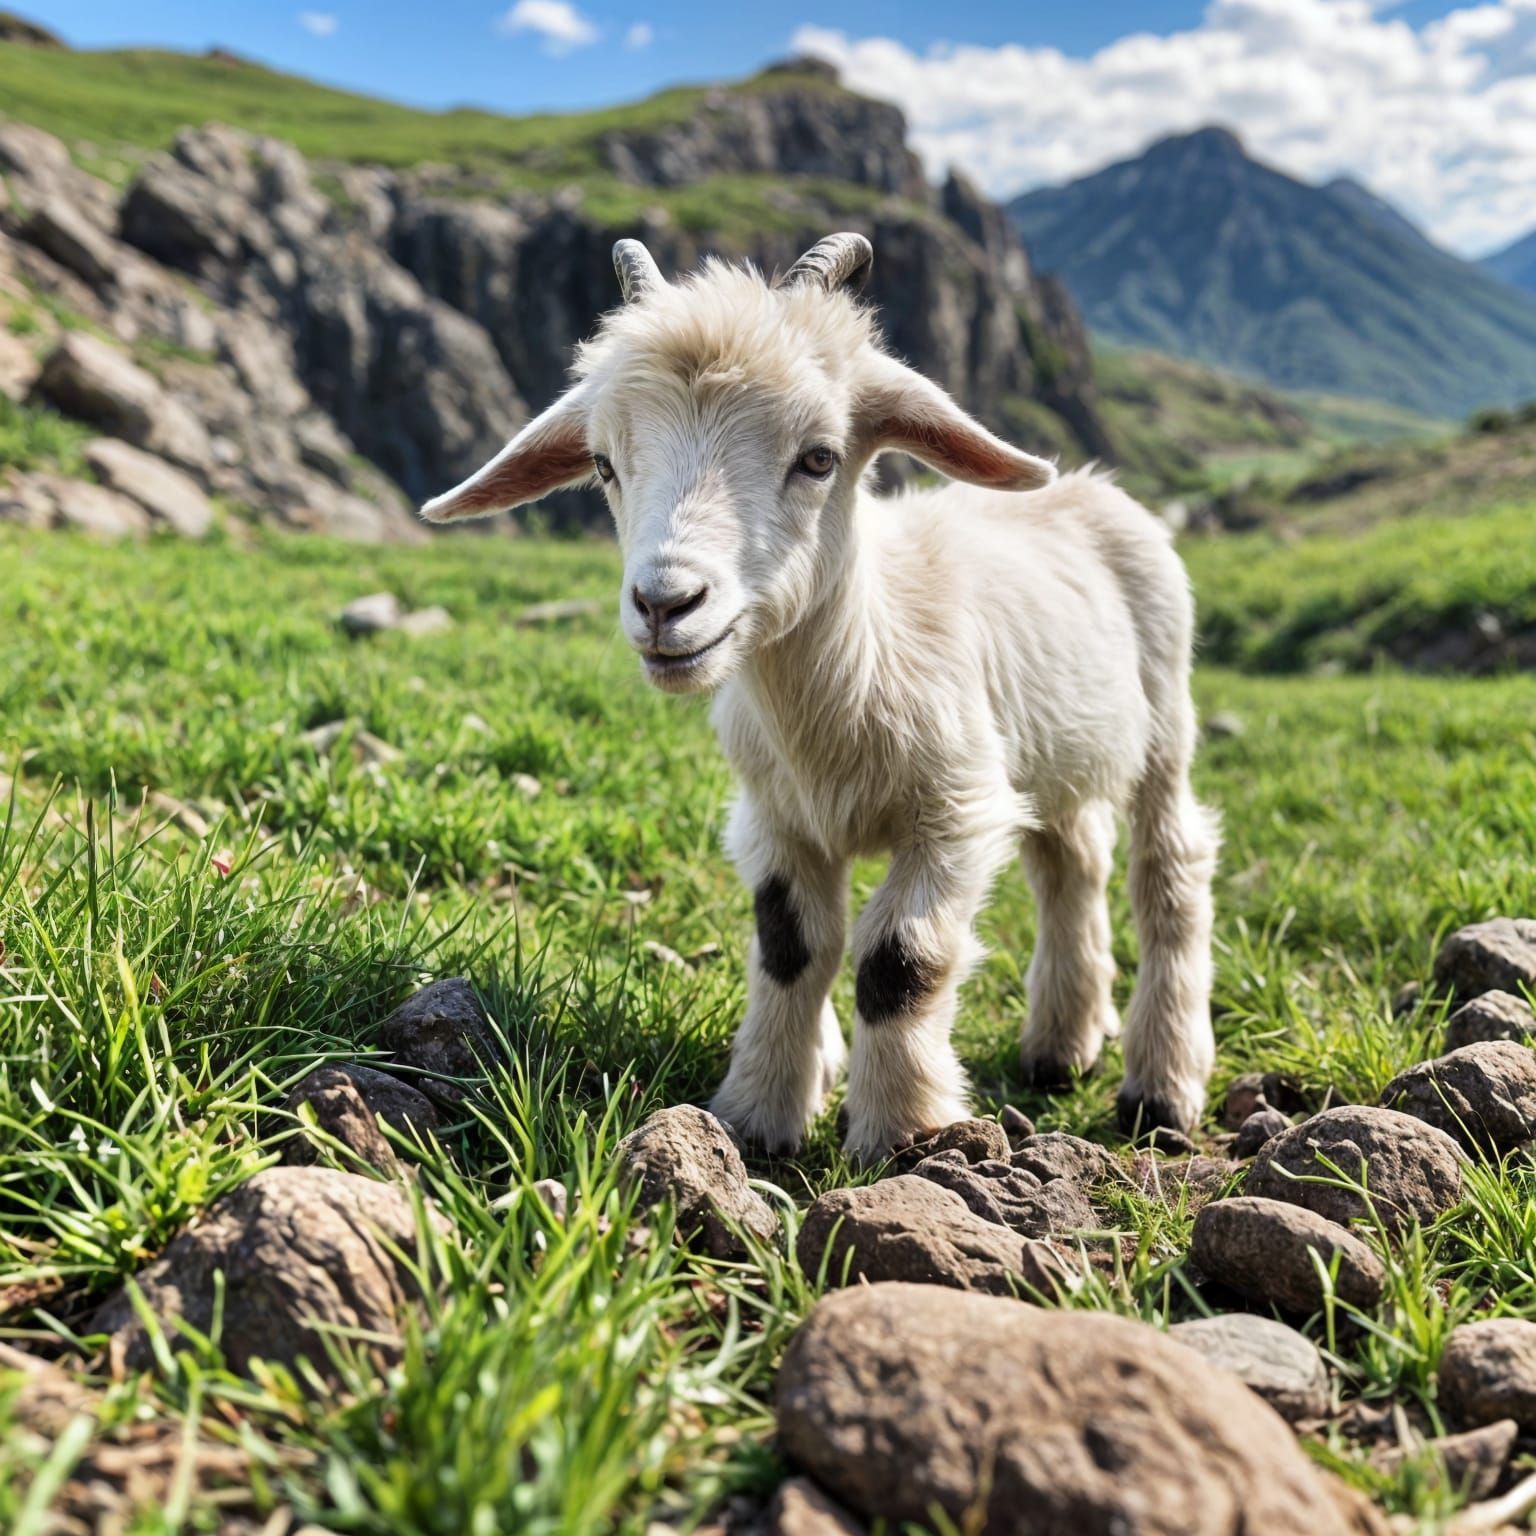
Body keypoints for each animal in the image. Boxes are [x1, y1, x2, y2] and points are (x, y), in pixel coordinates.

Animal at [420, 233, 1210, 1155]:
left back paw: (1161, 1086)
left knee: (1171, 866)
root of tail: (1091, 486)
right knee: (1072, 861)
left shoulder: (955, 811)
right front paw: (759, 1114)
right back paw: (1061, 1045)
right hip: (1056, 753)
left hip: (1166, 714)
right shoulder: (777, 816)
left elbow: (900, 962)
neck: (848, 680)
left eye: (819, 458)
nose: (665, 604)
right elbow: (792, 948)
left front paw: (901, 1129)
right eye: (605, 464)